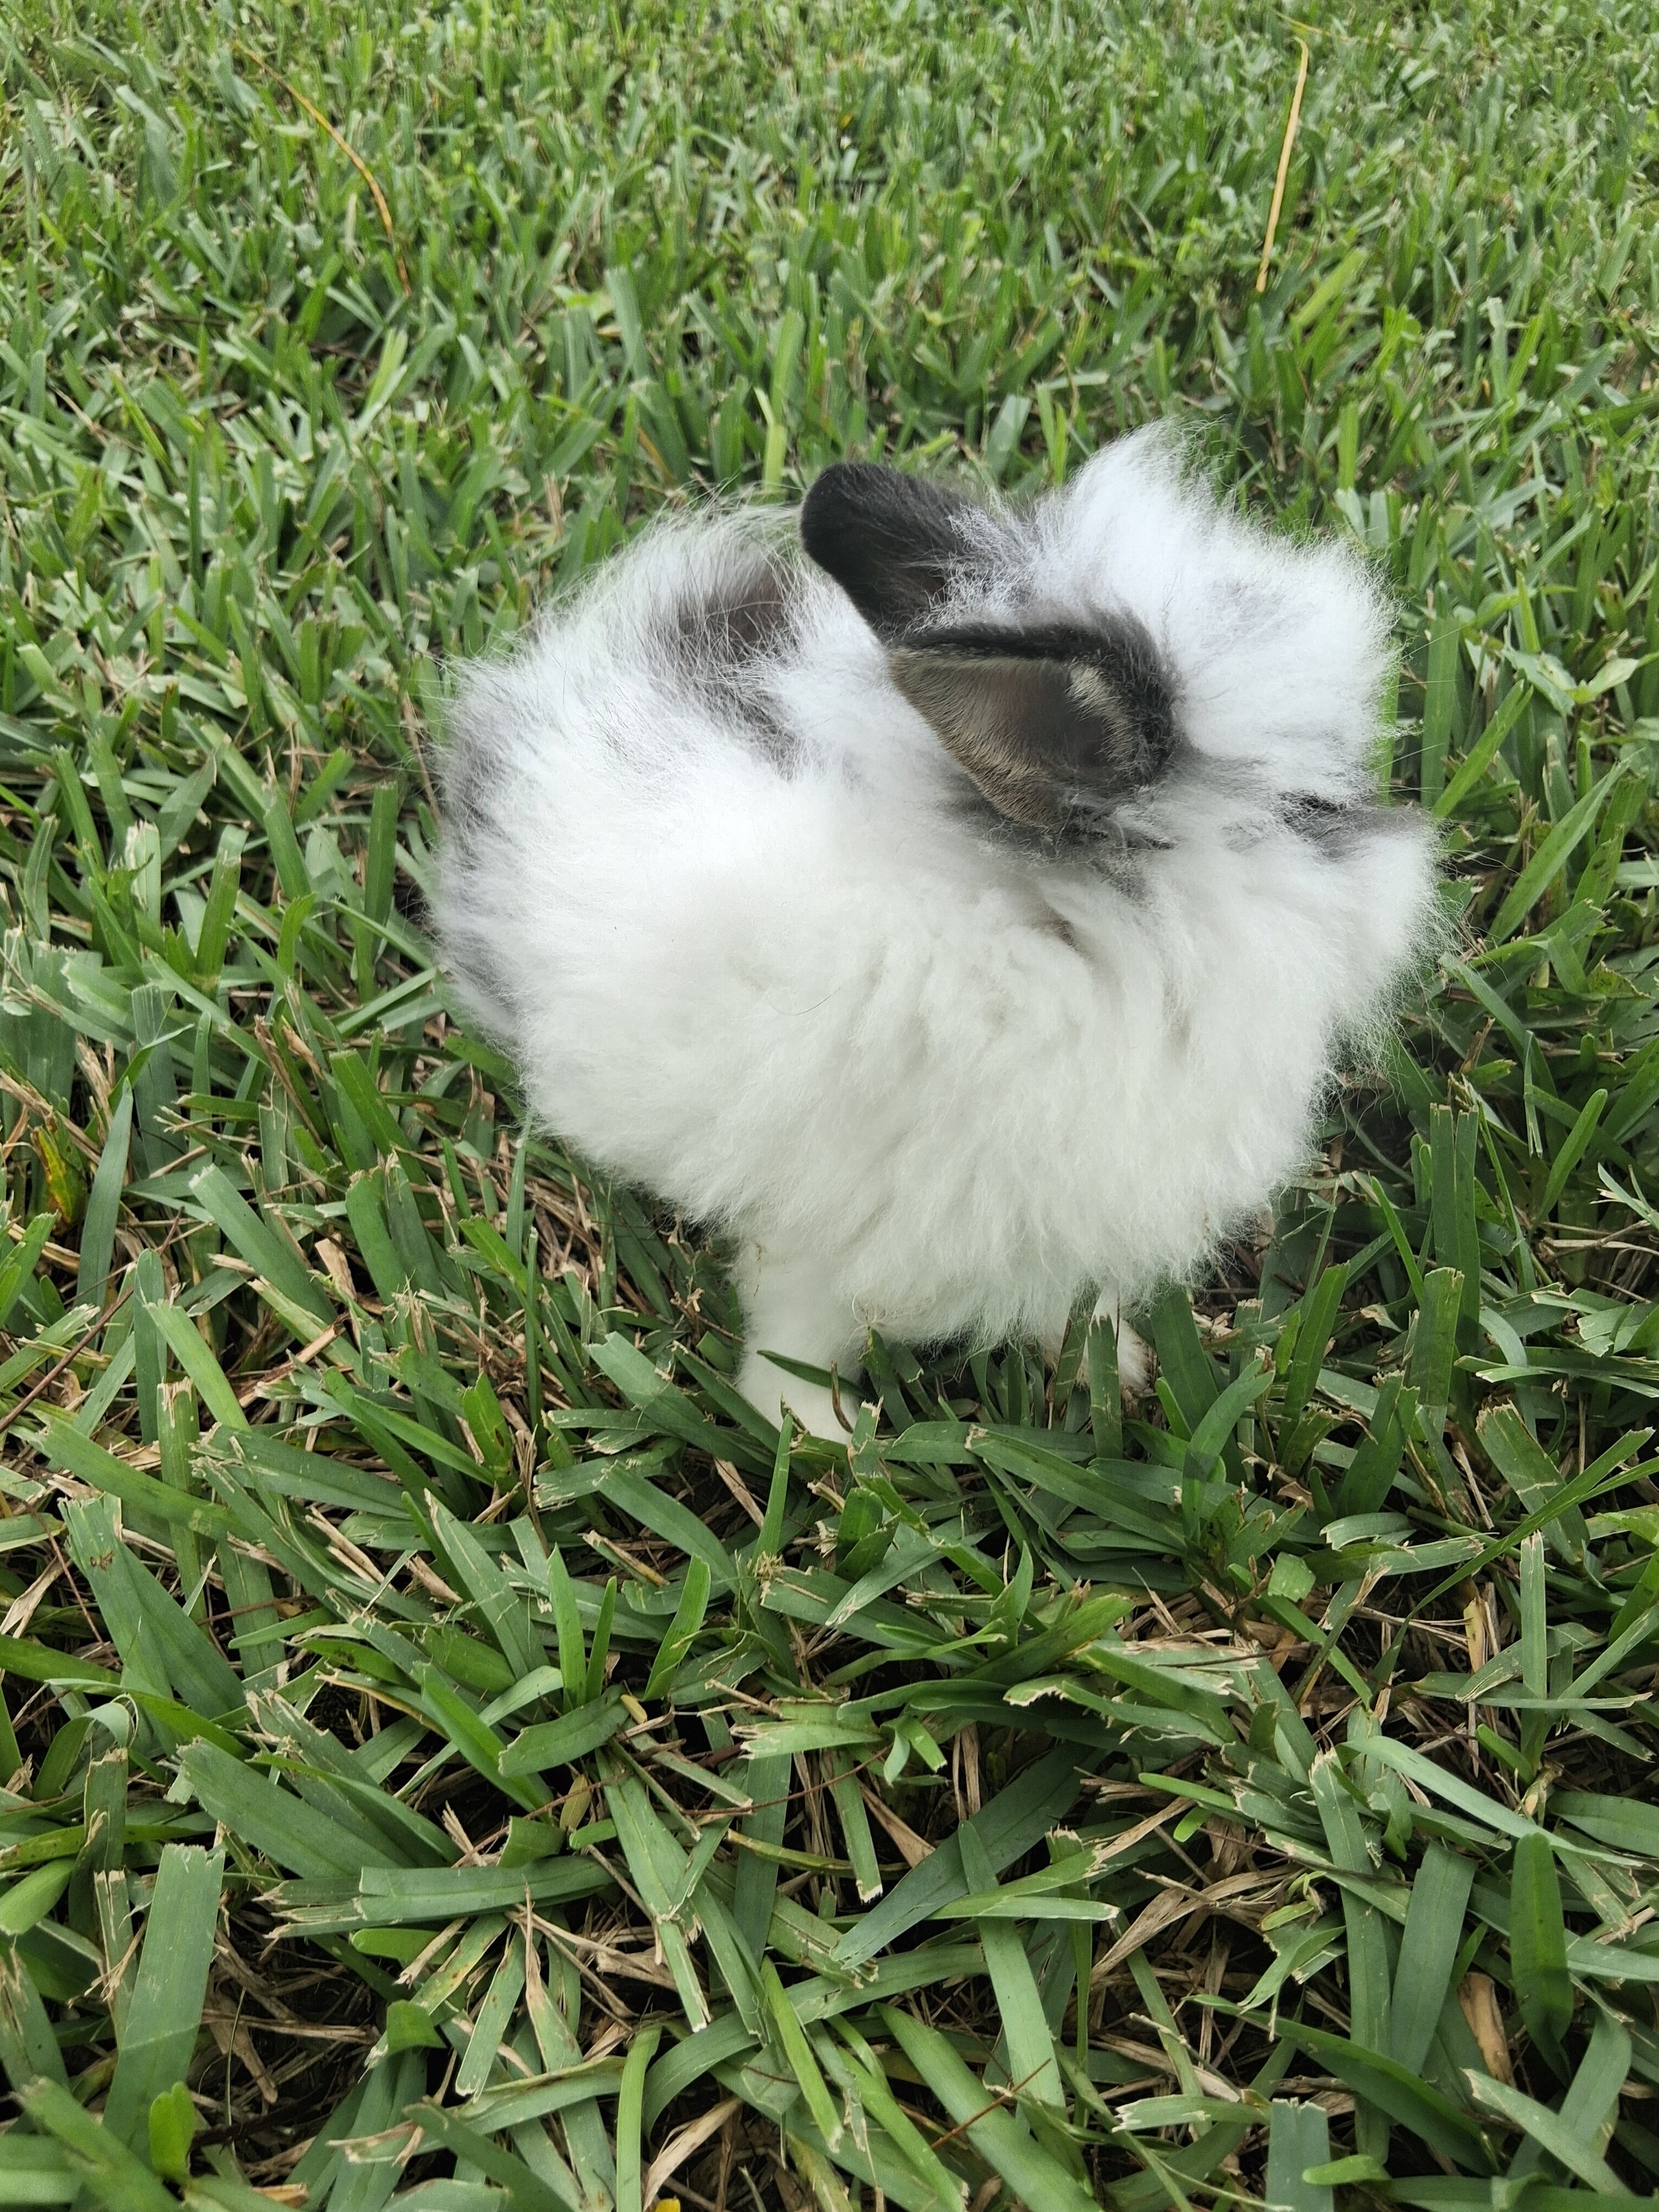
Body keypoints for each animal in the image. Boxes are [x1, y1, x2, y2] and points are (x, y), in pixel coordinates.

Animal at [433, 428, 1439, 1439]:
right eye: (1316, 811)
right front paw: (819, 1439)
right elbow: (796, 1337)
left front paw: (1110, 1373)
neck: (1062, 939)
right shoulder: (824, 1233)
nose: (1417, 885)